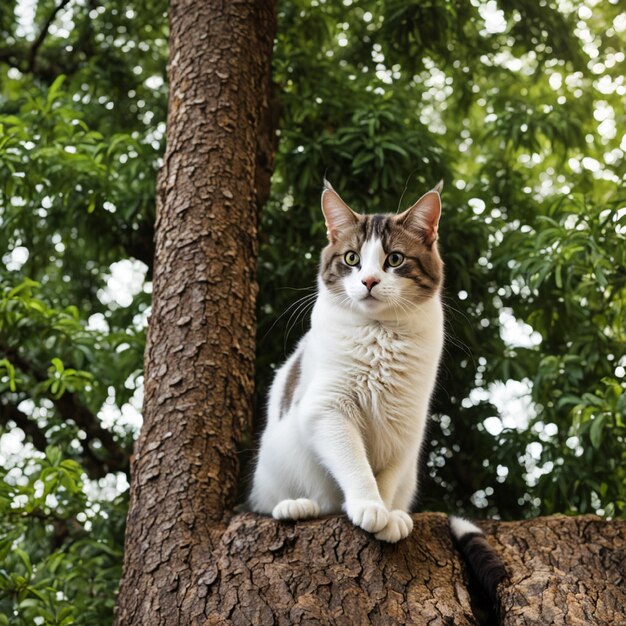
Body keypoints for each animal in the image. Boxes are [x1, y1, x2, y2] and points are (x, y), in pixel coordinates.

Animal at [249, 177, 444, 540]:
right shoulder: (328, 410)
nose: (369, 281)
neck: (380, 335)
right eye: (352, 258)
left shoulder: (405, 425)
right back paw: (296, 506)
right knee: (271, 503)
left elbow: (387, 478)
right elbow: (355, 464)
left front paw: (388, 514)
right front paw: (369, 505)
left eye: (395, 259)